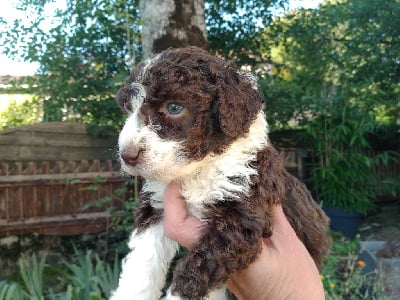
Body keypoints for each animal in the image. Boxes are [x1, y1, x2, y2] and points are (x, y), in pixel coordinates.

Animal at [110, 46, 332, 300]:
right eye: (129, 109)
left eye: (174, 108)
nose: (127, 155)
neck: (197, 171)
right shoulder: (156, 208)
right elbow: (143, 260)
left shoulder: (240, 219)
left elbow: (196, 271)